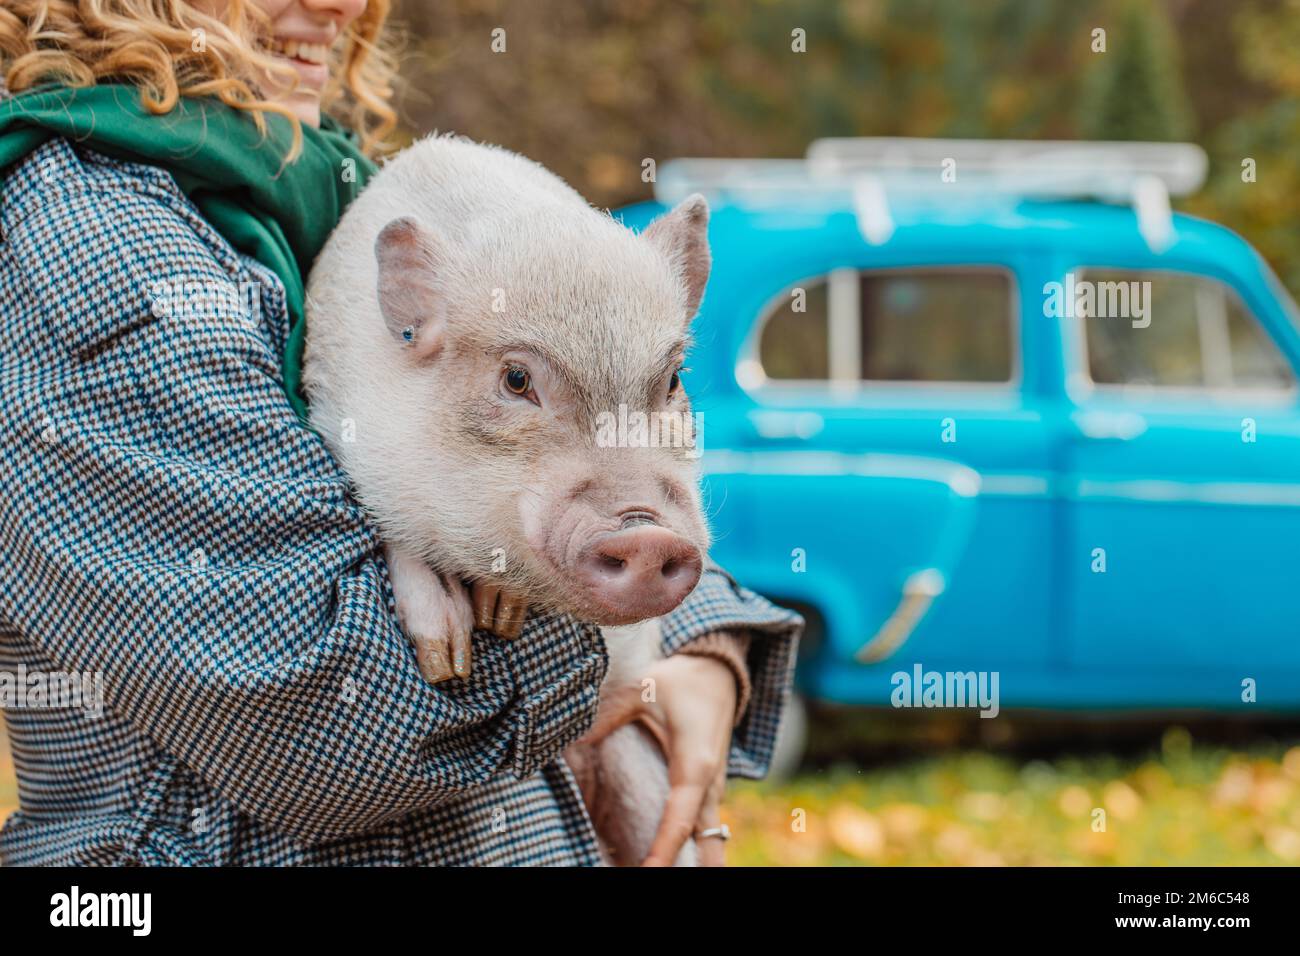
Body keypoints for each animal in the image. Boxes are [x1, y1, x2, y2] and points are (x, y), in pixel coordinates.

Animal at [300, 134, 717, 868]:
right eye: (517, 379)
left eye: (673, 379)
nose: (647, 531)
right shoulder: (335, 416)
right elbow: (393, 534)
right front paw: (448, 661)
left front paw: (501, 611)